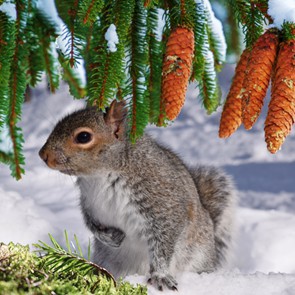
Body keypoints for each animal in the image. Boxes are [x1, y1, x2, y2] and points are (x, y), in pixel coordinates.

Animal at [40, 99, 238, 292]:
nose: (43, 154)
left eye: (83, 137)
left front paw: (160, 275)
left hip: (197, 256)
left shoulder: (163, 202)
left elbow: (164, 242)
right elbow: (91, 223)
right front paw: (111, 237)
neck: (101, 176)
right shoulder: (89, 202)